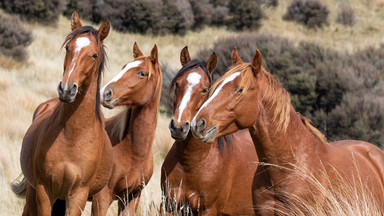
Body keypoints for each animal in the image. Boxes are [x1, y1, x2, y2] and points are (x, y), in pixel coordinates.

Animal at [10, 11, 112, 215]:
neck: (72, 136)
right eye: (67, 47)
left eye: (94, 55)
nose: (66, 89)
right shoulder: (43, 190)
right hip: (34, 192)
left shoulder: (77, 195)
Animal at [160, 46, 268, 215]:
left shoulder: (208, 210)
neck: (190, 163)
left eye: (204, 90)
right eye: (177, 84)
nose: (178, 127)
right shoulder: (168, 206)